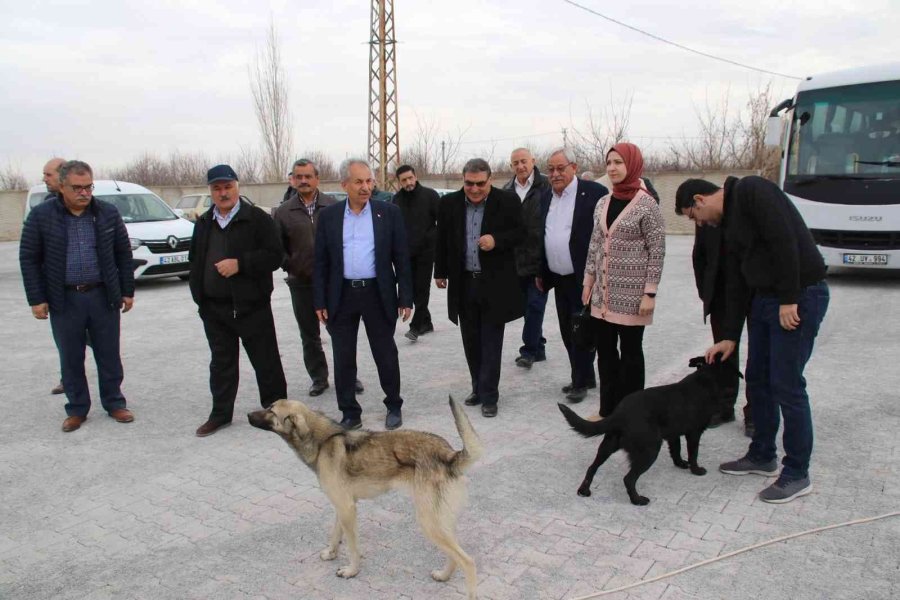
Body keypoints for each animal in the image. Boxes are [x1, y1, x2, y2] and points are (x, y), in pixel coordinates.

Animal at [246, 396, 486, 596]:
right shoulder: (342, 506)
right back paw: (443, 575)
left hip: (429, 523)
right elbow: (335, 534)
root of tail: (449, 455)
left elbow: (353, 547)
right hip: (440, 521)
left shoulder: (347, 509)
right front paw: (331, 553)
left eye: (271, 410)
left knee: (468, 562)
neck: (323, 442)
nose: (248, 415)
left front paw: (351, 571)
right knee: (455, 555)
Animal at [560, 356, 740, 506]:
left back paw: (584, 490)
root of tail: (620, 413)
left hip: (607, 446)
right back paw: (637, 500)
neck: (706, 381)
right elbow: (693, 453)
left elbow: (676, 450)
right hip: (650, 450)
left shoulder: (673, 434)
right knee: (628, 479)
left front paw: (681, 464)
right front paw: (696, 470)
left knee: (592, 467)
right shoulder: (694, 432)